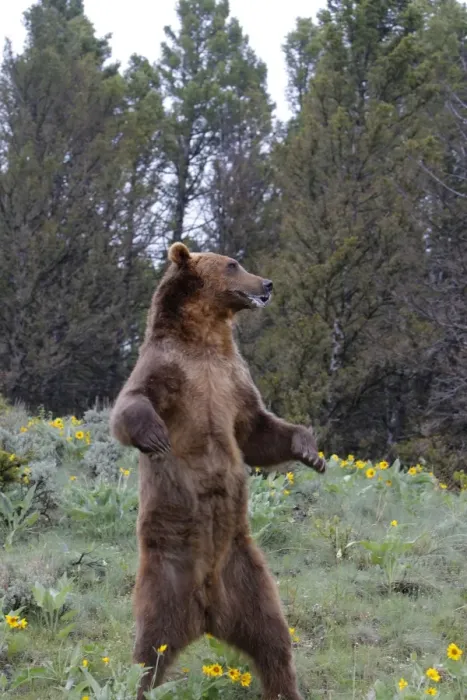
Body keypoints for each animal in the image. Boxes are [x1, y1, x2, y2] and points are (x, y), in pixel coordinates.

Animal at [110, 242, 326, 700]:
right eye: (233, 264)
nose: (267, 283)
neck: (206, 339)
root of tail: (206, 613)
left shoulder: (233, 379)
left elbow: (256, 430)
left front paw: (310, 451)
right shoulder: (168, 369)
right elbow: (131, 403)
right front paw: (155, 436)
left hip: (249, 576)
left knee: (274, 640)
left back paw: (287, 688)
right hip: (165, 577)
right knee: (149, 652)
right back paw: (138, 682)